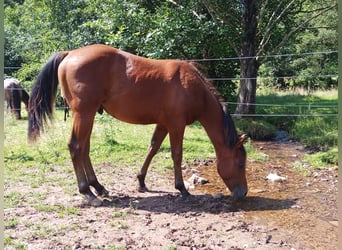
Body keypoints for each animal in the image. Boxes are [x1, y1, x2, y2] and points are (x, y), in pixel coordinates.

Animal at [26, 44, 246, 206]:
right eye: (240, 163)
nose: (243, 193)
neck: (192, 86)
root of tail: (70, 54)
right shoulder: (177, 125)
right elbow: (176, 155)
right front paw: (182, 188)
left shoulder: (163, 124)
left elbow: (153, 148)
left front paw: (141, 181)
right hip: (84, 114)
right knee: (76, 146)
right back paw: (87, 192)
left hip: (87, 115)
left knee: (84, 148)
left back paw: (98, 187)